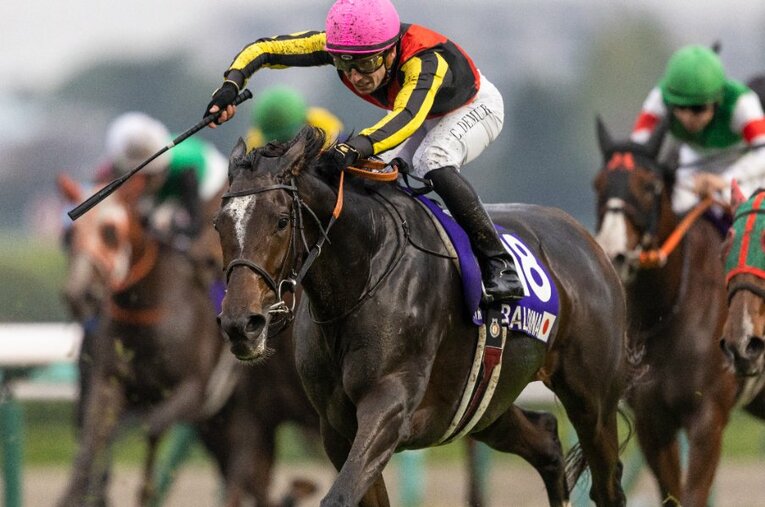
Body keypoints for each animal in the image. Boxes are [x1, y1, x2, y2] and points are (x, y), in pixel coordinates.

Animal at [56, 175, 320, 507]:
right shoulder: (108, 387)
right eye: (69, 235)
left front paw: (145, 493)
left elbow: (153, 428)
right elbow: (89, 445)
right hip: (231, 427)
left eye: (110, 232)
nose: (79, 294)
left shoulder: (195, 390)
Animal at [215, 126, 629, 506]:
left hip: (592, 401)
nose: (241, 325)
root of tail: (585, 238)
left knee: (607, 484)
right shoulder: (336, 428)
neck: (362, 275)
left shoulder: (389, 407)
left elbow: (340, 496)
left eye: (281, 220)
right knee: (545, 440)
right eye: (220, 224)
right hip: (484, 405)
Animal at [592, 118, 738, 507]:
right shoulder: (651, 420)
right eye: (598, 184)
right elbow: (670, 494)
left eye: (650, 185)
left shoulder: (707, 417)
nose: (613, 253)